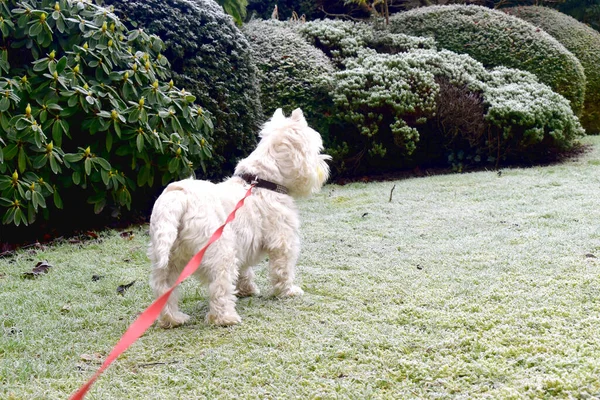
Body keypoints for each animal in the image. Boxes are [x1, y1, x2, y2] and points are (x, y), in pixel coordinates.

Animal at [147, 108, 330, 326]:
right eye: (315, 150)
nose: (325, 166)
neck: (263, 181)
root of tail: (178, 197)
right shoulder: (283, 241)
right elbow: (283, 270)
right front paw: (288, 291)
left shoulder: (243, 244)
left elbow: (245, 271)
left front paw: (246, 290)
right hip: (220, 253)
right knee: (219, 287)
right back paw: (225, 318)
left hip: (167, 257)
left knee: (163, 289)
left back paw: (173, 319)